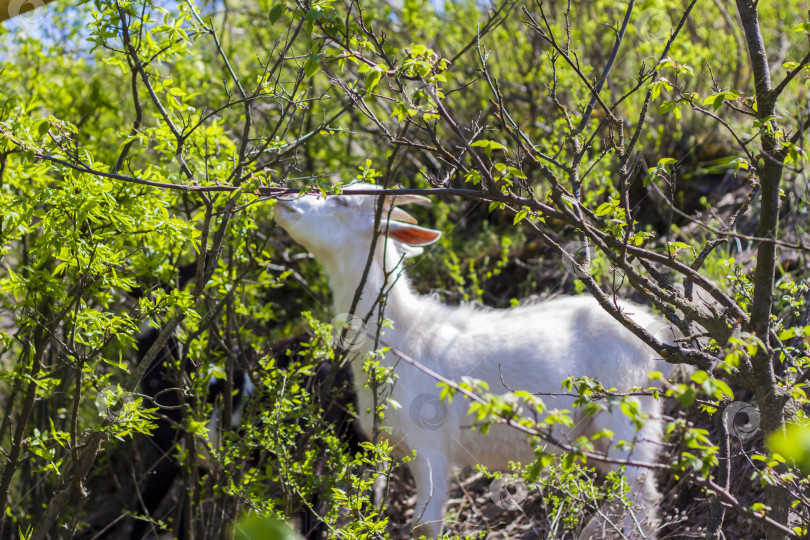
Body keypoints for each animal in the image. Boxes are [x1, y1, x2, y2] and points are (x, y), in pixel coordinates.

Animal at [274, 184, 664, 536]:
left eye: (342, 201)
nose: (284, 198)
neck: (405, 336)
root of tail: (656, 336)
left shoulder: (429, 448)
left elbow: (425, 525)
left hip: (626, 415)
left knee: (641, 498)